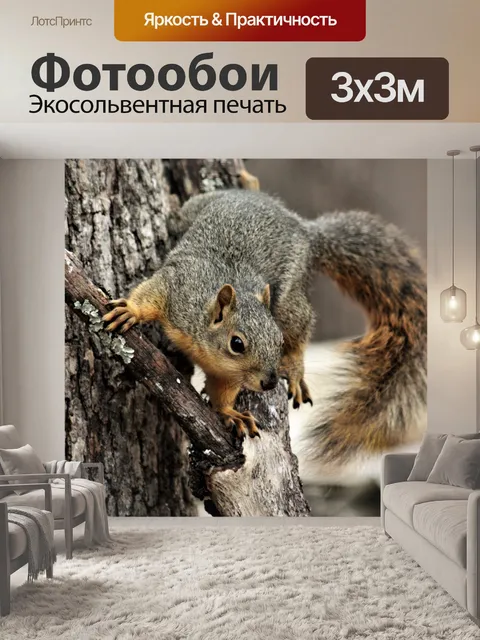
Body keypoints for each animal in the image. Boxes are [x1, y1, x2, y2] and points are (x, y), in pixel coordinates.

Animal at [103, 182, 426, 461]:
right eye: (237, 344)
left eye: (277, 340)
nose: (270, 382)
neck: (205, 345)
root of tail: (305, 230)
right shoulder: (179, 288)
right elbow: (151, 293)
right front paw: (130, 311)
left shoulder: (229, 373)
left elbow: (224, 392)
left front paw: (229, 413)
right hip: (193, 211)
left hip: (288, 300)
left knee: (301, 325)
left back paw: (294, 368)